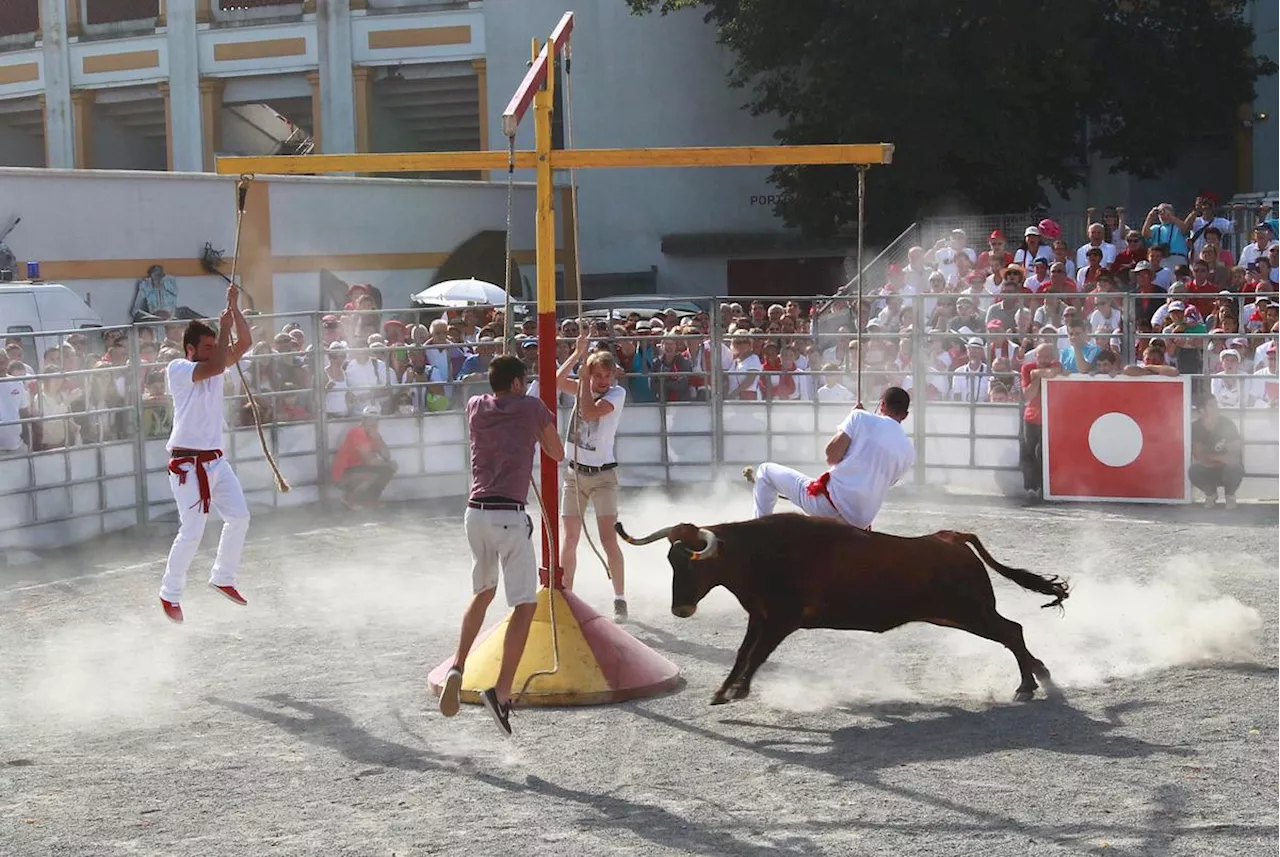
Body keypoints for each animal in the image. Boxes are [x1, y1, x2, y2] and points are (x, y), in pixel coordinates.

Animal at [619, 516, 1070, 706]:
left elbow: (757, 656)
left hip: (970, 612)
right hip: (959, 614)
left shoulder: (781, 621)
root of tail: (951, 537)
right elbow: (743, 654)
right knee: (1012, 631)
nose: (680, 608)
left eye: (694, 564)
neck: (757, 554)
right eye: (670, 561)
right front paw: (722, 691)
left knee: (1011, 631)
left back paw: (1028, 684)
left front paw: (739, 690)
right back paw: (1041, 675)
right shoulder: (759, 618)